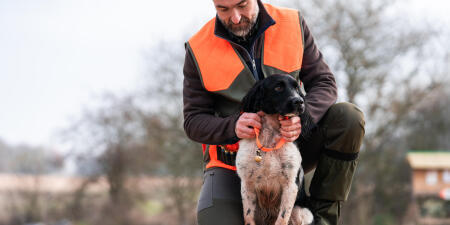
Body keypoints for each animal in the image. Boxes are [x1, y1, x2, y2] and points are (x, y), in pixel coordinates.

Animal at [236, 74, 312, 225]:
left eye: (297, 88)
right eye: (278, 87)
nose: (299, 102)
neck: (270, 138)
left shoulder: (291, 185)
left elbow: (282, 218)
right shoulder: (247, 184)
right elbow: (248, 216)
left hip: (304, 213)